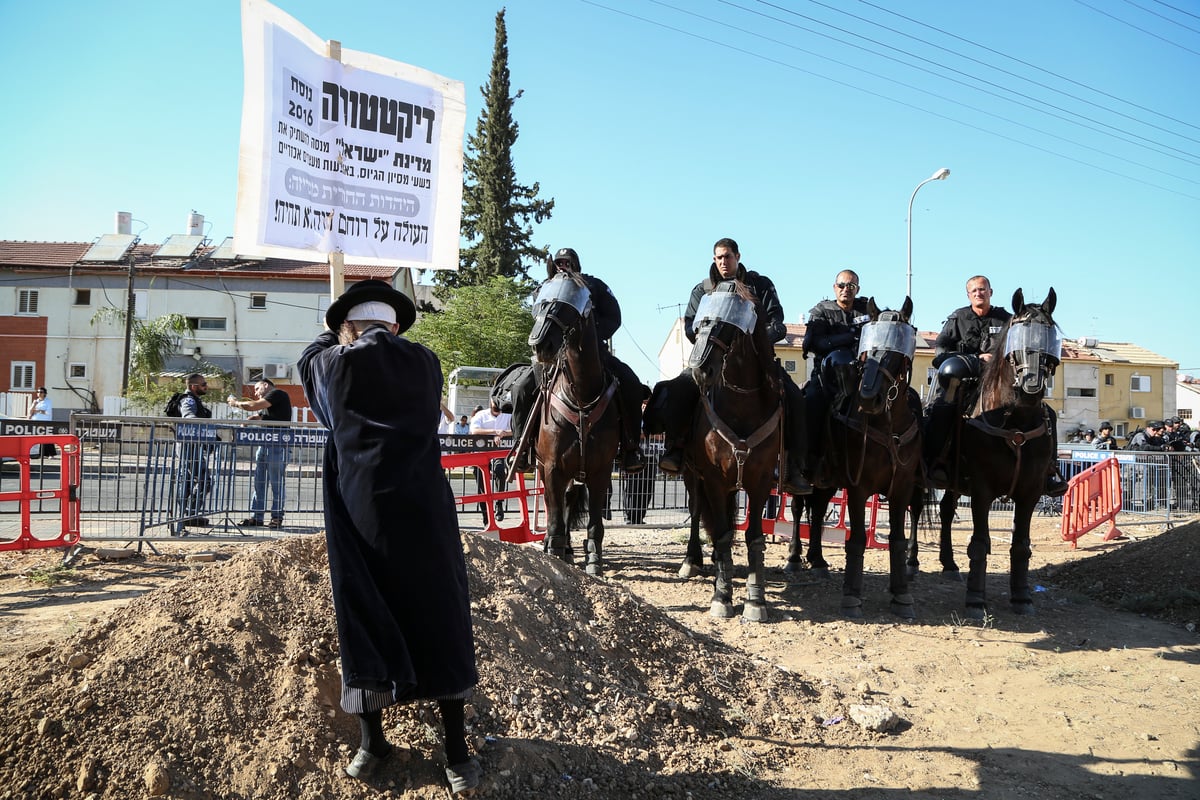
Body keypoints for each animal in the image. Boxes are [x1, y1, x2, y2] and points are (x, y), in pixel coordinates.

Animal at [525, 271, 619, 575]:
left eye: (568, 304)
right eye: (541, 301)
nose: (539, 344)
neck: (580, 396)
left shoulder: (601, 471)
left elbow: (595, 524)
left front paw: (593, 562)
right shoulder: (553, 467)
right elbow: (554, 518)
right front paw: (553, 553)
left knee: (568, 501)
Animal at [676, 281, 787, 623]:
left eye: (729, 321)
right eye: (701, 321)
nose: (701, 371)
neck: (742, 407)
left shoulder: (760, 481)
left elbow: (753, 537)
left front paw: (755, 600)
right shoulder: (712, 478)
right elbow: (724, 532)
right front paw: (721, 596)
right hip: (692, 476)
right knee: (698, 512)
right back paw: (693, 560)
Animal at [782, 298, 921, 618]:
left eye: (896, 350)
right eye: (867, 351)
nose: (869, 397)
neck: (887, 426)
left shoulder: (901, 489)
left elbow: (897, 539)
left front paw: (902, 595)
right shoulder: (859, 489)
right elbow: (856, 538)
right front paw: (852, 596)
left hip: (827, 481)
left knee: (819, 510)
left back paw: (818, 560)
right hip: (806, 476)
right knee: (798, 508)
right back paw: (795, 557)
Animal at [912, 287, 1065, 618]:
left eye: (1048, 334)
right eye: (1019, 332)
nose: (1032, 385)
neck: (1016, 420)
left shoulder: (1030, 492)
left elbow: (1021, 545)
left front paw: (1022, 597)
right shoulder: (982, 490)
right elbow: (980, 542)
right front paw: (975, 599)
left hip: (955, 483)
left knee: (946, 511)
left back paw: (949, 564)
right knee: (915, 511)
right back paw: (911, 561)